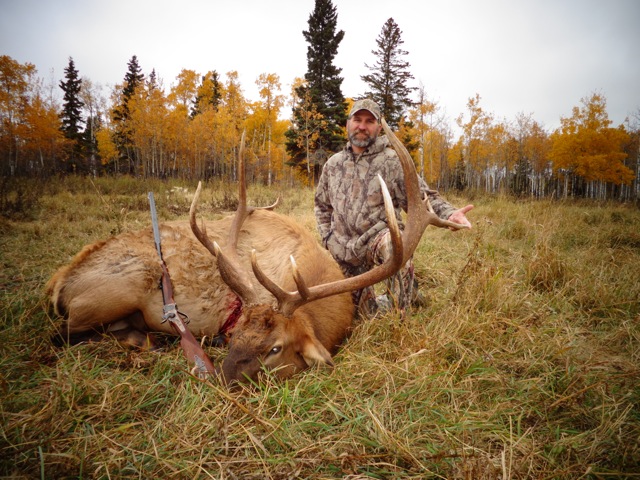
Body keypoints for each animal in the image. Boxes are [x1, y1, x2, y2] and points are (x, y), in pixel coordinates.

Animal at [46, 120, 467, 384]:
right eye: (235, 337)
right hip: (118, 289)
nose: (220, 380)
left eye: (275, 348)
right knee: (59, 335)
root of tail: (59, 282)